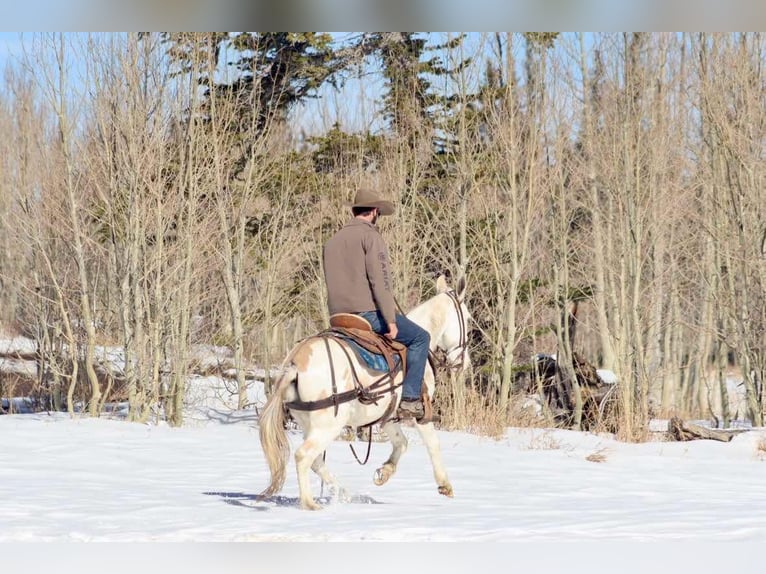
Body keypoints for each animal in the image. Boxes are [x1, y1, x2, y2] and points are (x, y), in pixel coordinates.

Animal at [260, 276, 472, 510]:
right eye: (468, 319)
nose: (464, 363)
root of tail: (296, 362)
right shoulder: (421, 411)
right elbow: (433, 444)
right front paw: (445, 485)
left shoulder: (388, 415)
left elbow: (401, 442)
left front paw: (384, 472)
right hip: (328, 425)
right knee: (303, 456)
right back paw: (309, 503)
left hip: (309, 424)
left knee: (316, 462)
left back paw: (341, 492)